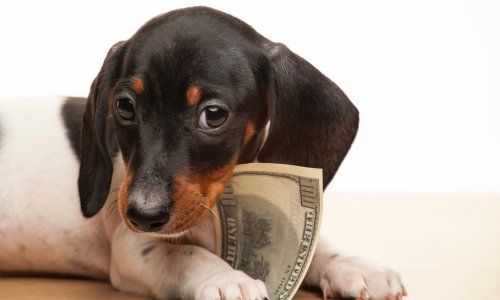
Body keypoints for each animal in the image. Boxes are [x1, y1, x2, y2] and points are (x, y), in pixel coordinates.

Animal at [0, 7, 404, 300]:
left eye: (213, 115)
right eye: (125, 107)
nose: (142, 214)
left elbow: (321, 245)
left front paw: (351, 264)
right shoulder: (133, 247)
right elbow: (183, 255)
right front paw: (225, 279)